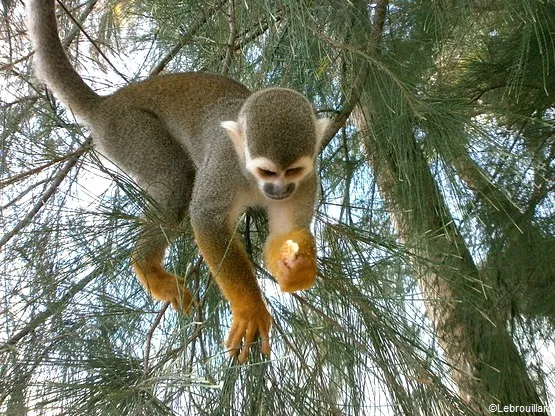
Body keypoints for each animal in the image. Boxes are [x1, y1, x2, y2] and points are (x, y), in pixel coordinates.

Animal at [27, 0, 330, 360]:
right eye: (268, 172)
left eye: (292, 171)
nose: (279, 189)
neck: (252, 180)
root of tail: (107, 104)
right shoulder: (225, 165)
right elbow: (207, 220)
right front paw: (250, 308)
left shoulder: (308, 181)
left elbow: (285, 232)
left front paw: (297, 270)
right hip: (128, 129)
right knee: (177, 179)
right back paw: (147, 268)